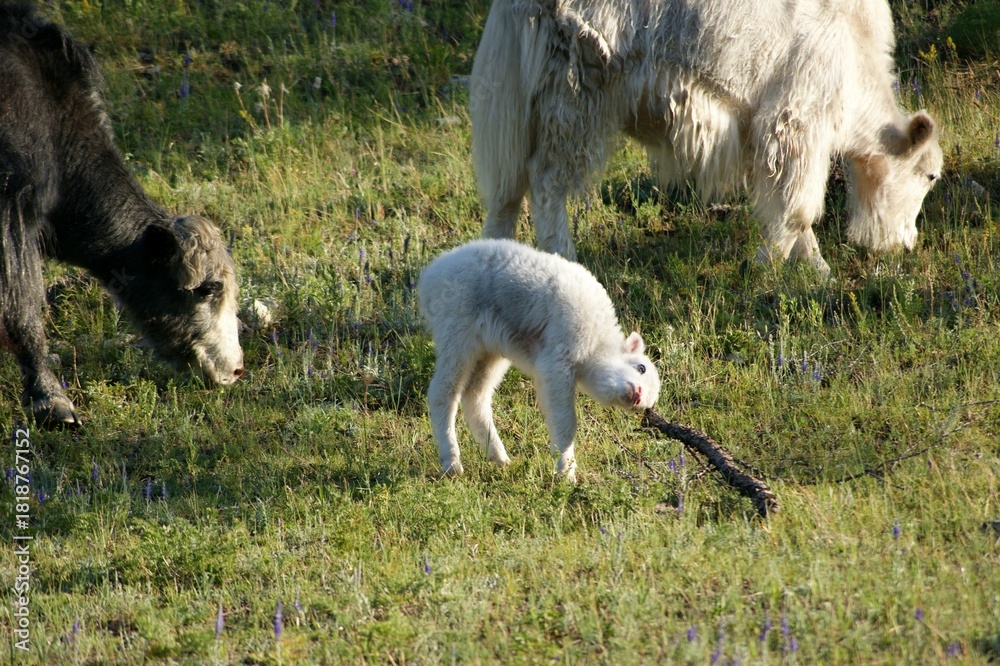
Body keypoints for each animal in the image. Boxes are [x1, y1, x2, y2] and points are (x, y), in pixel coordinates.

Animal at [470, 0, 943, 276]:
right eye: (930, 176)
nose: (908, 243)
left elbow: (786, 207)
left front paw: (813, 270)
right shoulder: (796, 122)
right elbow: (798, 208)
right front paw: (767, 267)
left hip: (526, 102)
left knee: (508, 189)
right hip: (574, 97)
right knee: (546, 182)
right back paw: (564, 261)